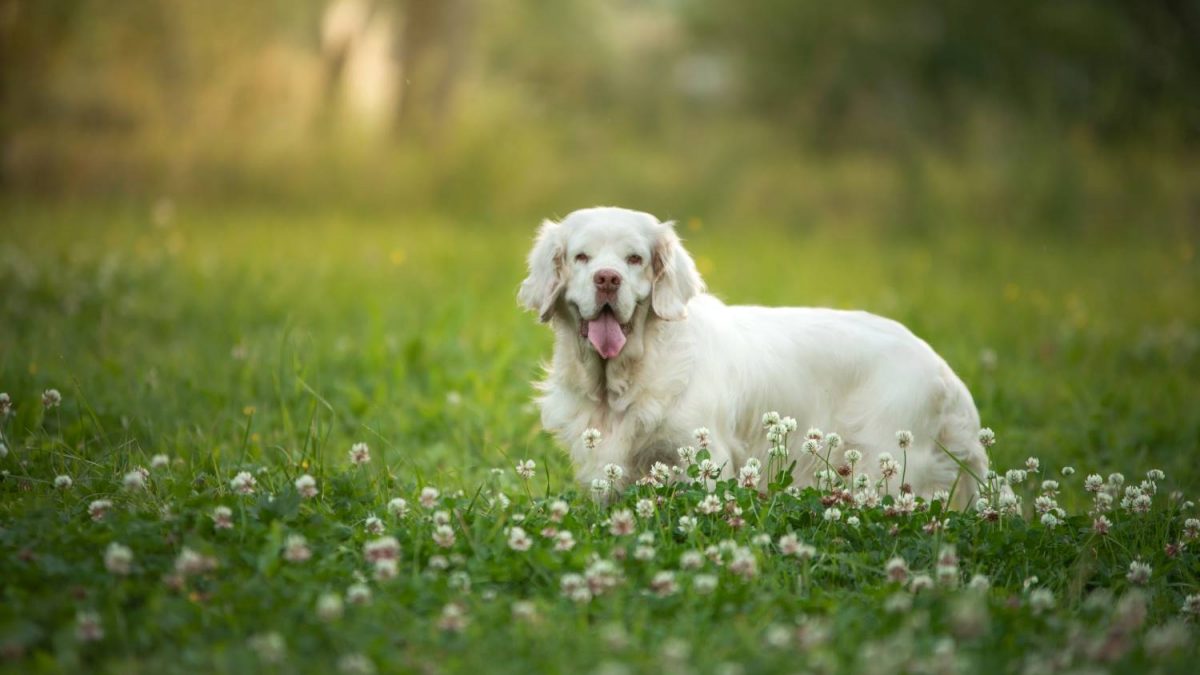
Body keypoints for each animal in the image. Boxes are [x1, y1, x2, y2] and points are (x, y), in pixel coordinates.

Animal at [520, 205, 988, 504]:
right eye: (581, 256)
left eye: (634, 258)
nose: (607, 279)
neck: (627, 376)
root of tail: (943, 369)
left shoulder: (706, 457)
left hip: (885, 462)